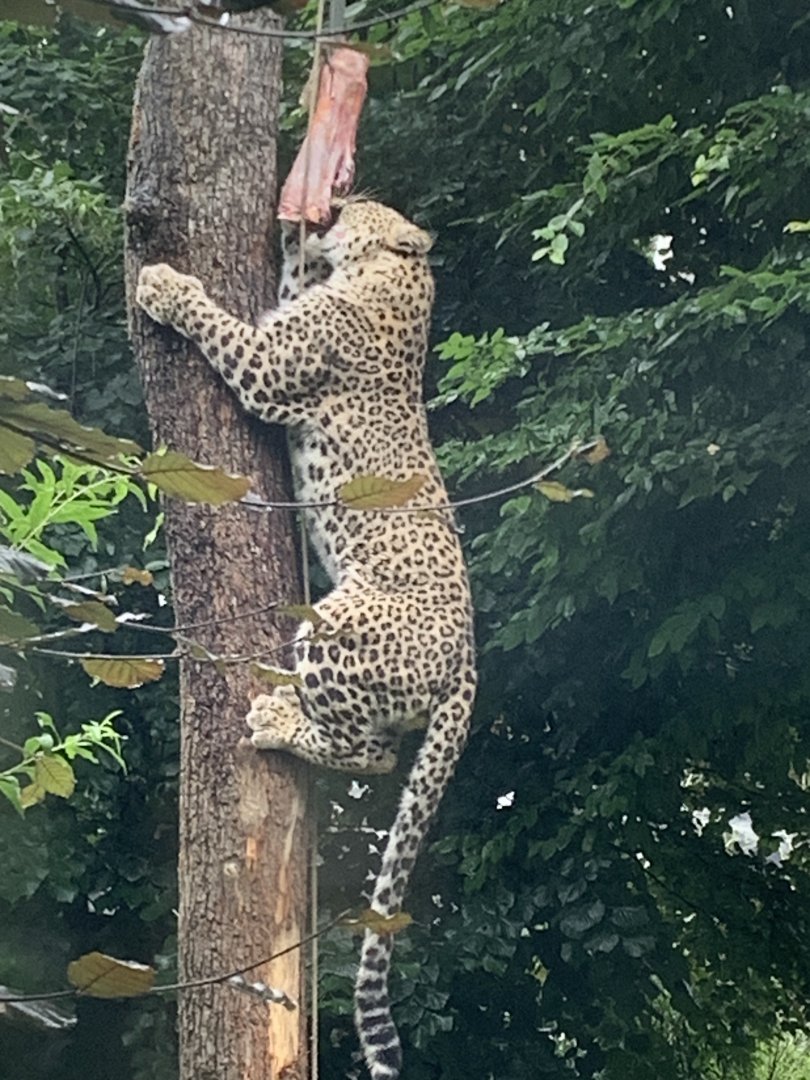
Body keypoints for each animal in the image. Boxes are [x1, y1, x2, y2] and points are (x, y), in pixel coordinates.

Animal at [136, 199, 477, 1080]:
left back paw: (276, 719)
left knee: (375, 754)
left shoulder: (271, 363)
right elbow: (285, 282)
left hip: (339, 627)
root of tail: (469, 667)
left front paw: (164, 285)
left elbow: (218, 322)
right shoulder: (285, 315)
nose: (338, 200)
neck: (398, 283)